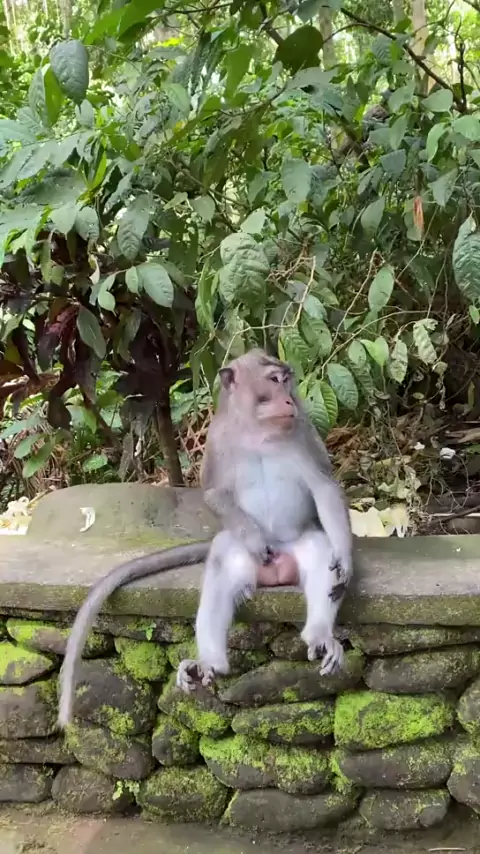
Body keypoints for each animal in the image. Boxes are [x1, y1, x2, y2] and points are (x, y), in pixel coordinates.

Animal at [57, 348, 352, 728]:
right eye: (274, 380)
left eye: (287, 380)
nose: (289, 398)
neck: (258, 431)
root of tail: (277, 568)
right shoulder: (217, 438)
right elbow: (214, 494)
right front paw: (254, 539)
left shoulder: (302, 429)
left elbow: (324, 489)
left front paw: (344, 559)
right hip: (244, 557)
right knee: (222, 558)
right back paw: (208, 662)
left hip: (298, 545)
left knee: (318, 552)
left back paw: (319, 637)